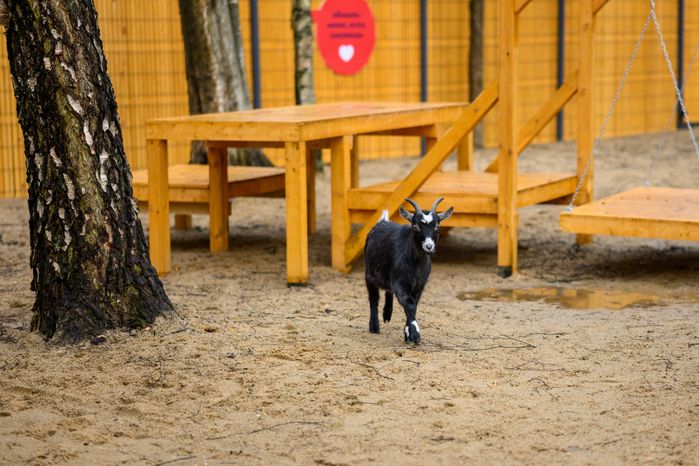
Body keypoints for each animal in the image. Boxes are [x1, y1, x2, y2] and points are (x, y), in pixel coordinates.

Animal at [364, 197, 453, 343]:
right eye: (415, 226)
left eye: (437, 227)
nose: (429, 246)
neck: (415, 263)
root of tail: (382, 222)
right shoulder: (400, 282)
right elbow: (409, 305)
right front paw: (415, 334)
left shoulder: (419, 285)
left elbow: (413, 305)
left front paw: (408, 334)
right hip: (369, 274)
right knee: (374, 299)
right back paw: (374, 327)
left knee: (388, 291)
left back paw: (387, 314)